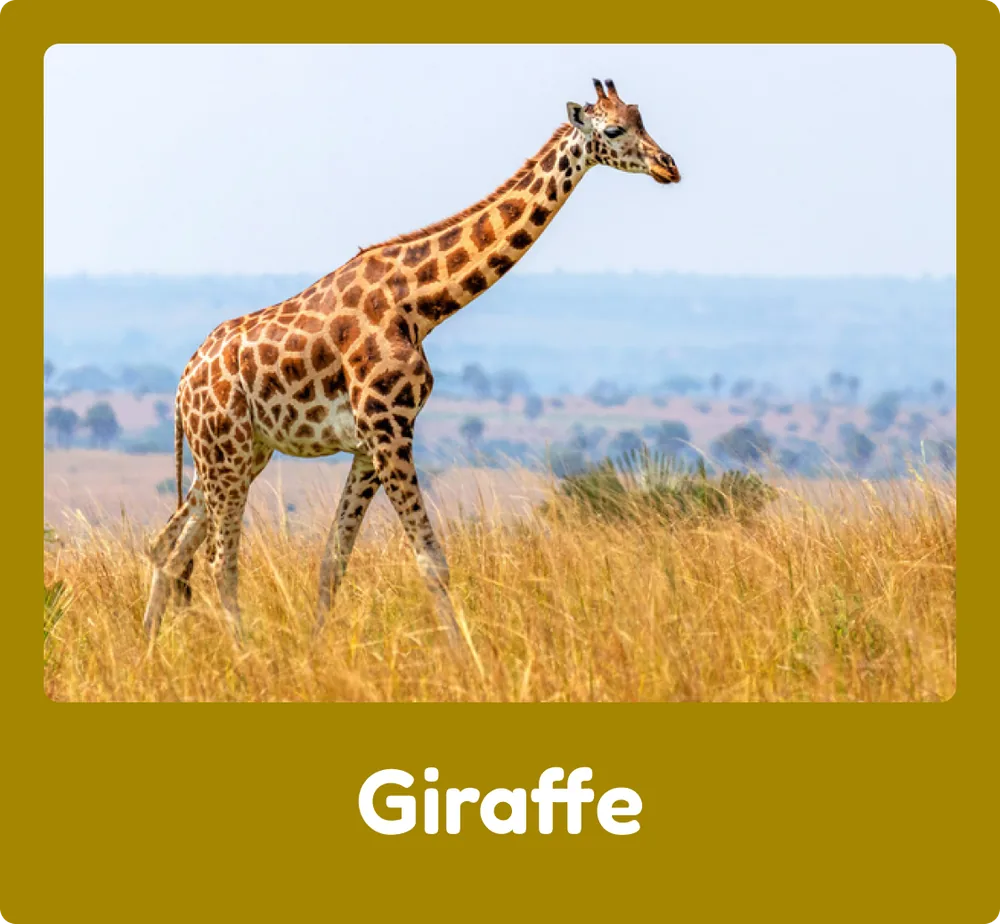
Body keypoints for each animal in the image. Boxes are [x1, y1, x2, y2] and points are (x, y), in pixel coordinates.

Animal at [142, 78, 681, 643]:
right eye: (614, 129)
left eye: (641, 118)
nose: (669, 166)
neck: (421, 303)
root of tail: (182, 384)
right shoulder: (389, 428)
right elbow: (431, 560)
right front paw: (464, 653)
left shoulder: (368, 443)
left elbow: (334, 559)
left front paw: (316, 648)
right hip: (223, 451)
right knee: (216, 558)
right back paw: (242, 651)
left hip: (239, 453)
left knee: (168, 547)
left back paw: (150, 647)